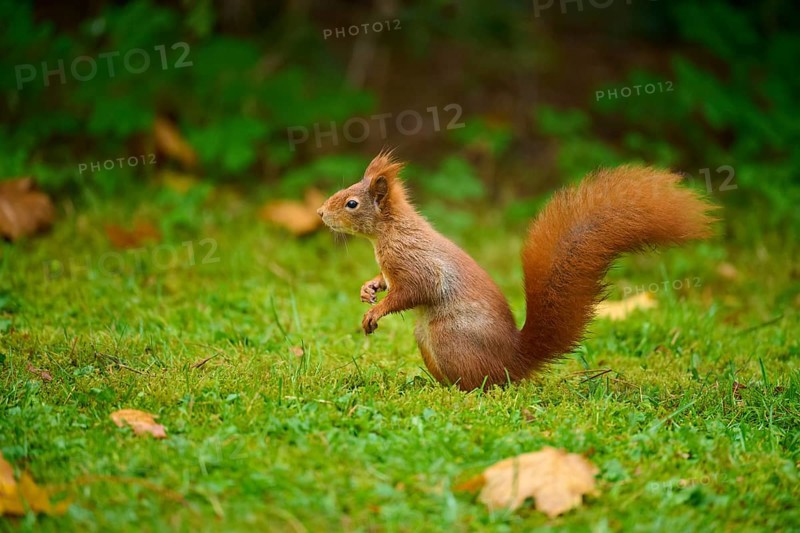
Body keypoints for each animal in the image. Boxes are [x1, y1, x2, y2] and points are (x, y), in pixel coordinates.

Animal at [317, 151, 716, 391]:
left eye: (351, 203)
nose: (320, 213)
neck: (391, 231)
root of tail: (514, 359)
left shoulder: (417, 264)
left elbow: (415, 290)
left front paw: (376, 312)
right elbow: (385, 282)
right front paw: (368, 289)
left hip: (447, 338)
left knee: (483, 384)